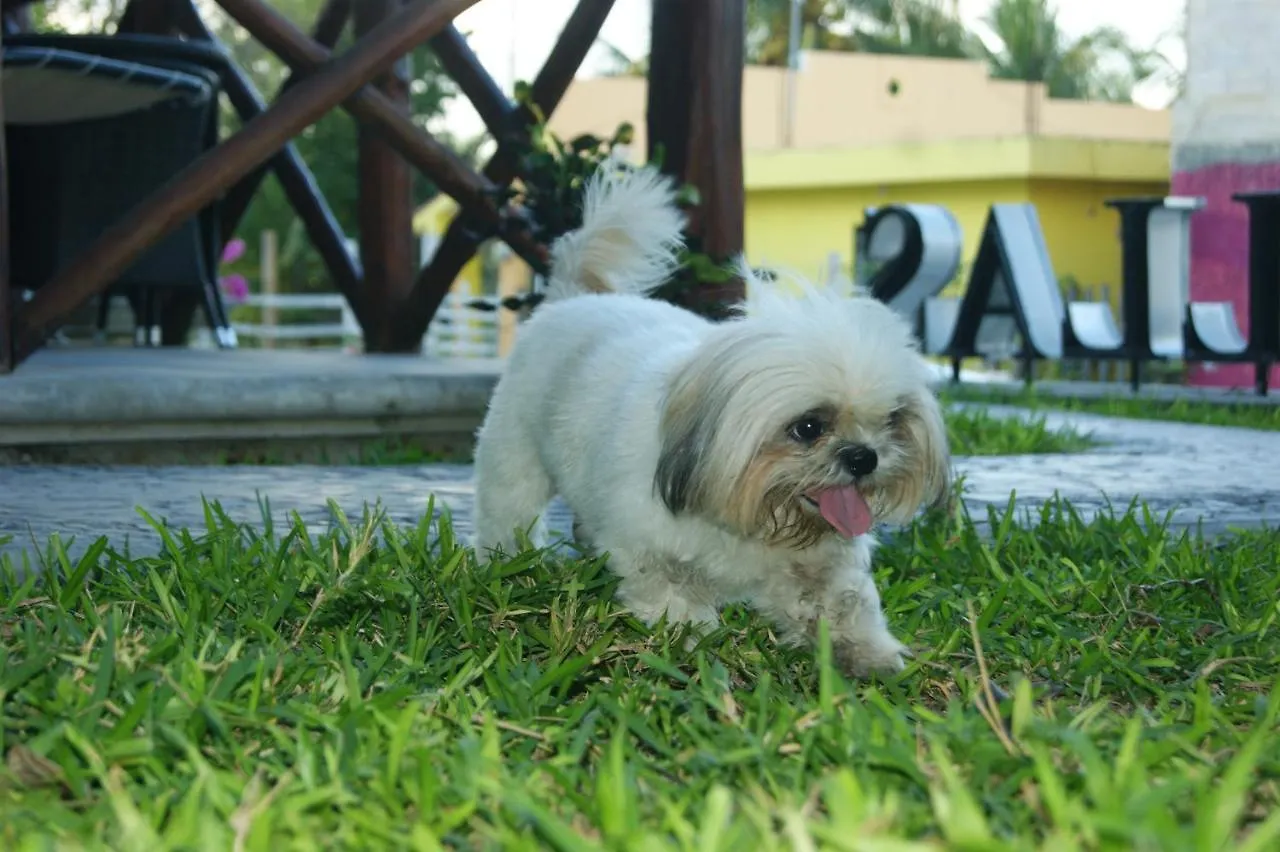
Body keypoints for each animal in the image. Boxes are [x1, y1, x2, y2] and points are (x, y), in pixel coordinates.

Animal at [473, 162, 952, 675]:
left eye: (892, 421)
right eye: (808, 427)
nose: (863, 457)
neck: (755, 508)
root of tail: (571, 298)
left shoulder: (821, 564)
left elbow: (844, 603)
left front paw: (869, 654)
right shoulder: (648, 551)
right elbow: (671, 598)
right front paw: (693, 644)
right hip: (514, 468)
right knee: (508, 515)